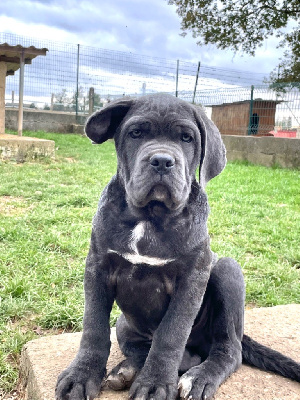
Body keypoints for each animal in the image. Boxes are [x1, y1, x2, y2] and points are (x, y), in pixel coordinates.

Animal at [55, 94, 298, 400]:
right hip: (124, 324)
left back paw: (198, 377)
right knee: (148, 349)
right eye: (136, 133)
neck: (151, 216)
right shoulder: (98, 267)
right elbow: (94, 327)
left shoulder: (192, 277)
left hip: (227, 270)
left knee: (227, 350)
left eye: (186, 138)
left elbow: (170, 333)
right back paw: (127, 370)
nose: (161, 160)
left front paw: (155, 384)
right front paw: (81, 375)